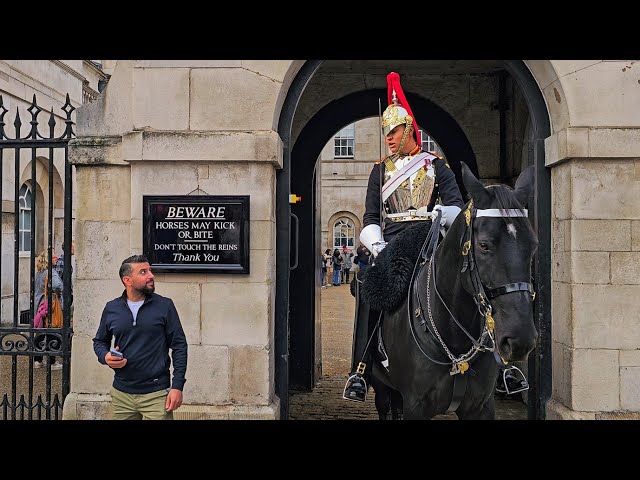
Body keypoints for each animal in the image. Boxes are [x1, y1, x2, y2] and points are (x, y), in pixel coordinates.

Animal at [368, 163, 536, 418]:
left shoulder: (480, 406)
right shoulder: (415, 406)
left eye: (533, 245)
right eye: (484, 245)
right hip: (381, 385)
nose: (520, 339)